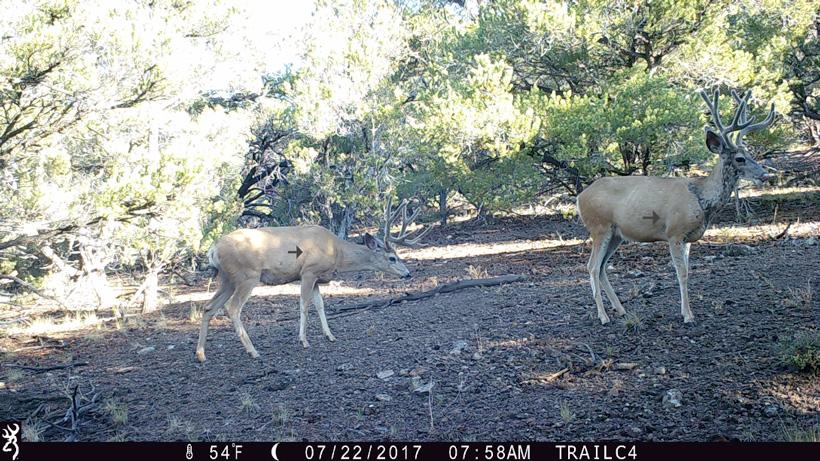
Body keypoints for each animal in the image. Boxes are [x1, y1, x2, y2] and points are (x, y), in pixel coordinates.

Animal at [195, 197, 430, 362]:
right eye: (392, 258)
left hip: (227, 278)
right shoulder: (308, 271)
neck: (337, 252)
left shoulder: (318, 278)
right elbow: (304, 304)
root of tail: (213, 249)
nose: (407, 274)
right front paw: (304, 340)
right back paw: (253, 351)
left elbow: (320, 305)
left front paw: (330, 335)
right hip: (247, 275)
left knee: (208, 307)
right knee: (232, 308)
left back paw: (201, 354)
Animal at [576, 89, 775, 325]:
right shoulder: (674, 232)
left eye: (750, 154)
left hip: (616, 234)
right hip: (599, 227)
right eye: (739, 158)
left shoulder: (688, 238)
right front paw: (688, 315)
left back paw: (621, 310)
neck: (701, 197)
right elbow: (682, 273)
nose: (766, 175)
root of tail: (579, 197)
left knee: (601, 268)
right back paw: (603, 316)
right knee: (591, 266)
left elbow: (688, 271)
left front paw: (686, 311)